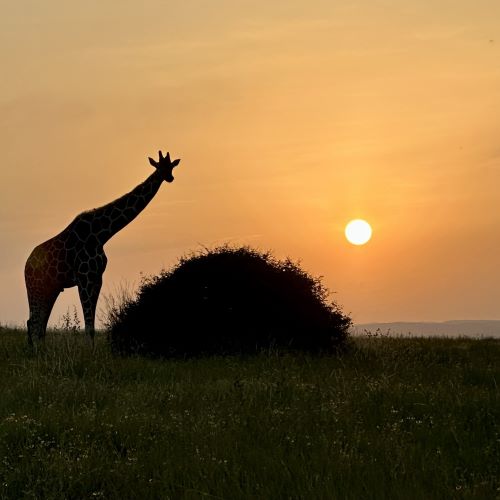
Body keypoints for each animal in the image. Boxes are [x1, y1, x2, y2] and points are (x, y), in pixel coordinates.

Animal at [24, 150, 182, 346]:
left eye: (172, 166)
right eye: (159, 167)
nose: (170, 177)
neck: (101, 235)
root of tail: (26, 266)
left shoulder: (97, 277)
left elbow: (91, 326)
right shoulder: (84, 278)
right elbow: (88, 326)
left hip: (50, 288)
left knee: (37, 324)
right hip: (36, 287)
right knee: (34, 322)